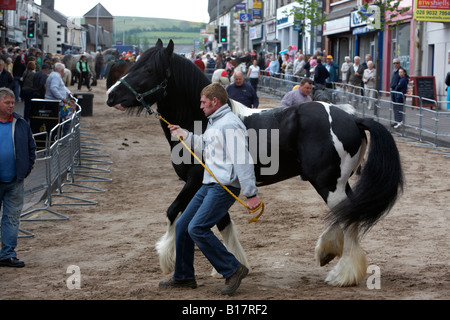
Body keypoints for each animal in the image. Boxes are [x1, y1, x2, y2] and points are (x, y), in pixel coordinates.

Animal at [106, 40, 404, 288]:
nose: (111, 94)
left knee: (347, 218)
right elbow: (221, 224)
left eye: (148, 70)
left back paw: (342, 274)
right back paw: (327, 252)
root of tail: (352, 118)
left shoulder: (195, 182)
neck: (202, 124)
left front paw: (167, 258)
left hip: (328, 184)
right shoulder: (215, 185)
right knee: (351, 212)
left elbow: (172, 212)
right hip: (338, 183)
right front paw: (232, 265)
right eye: (135, 64)